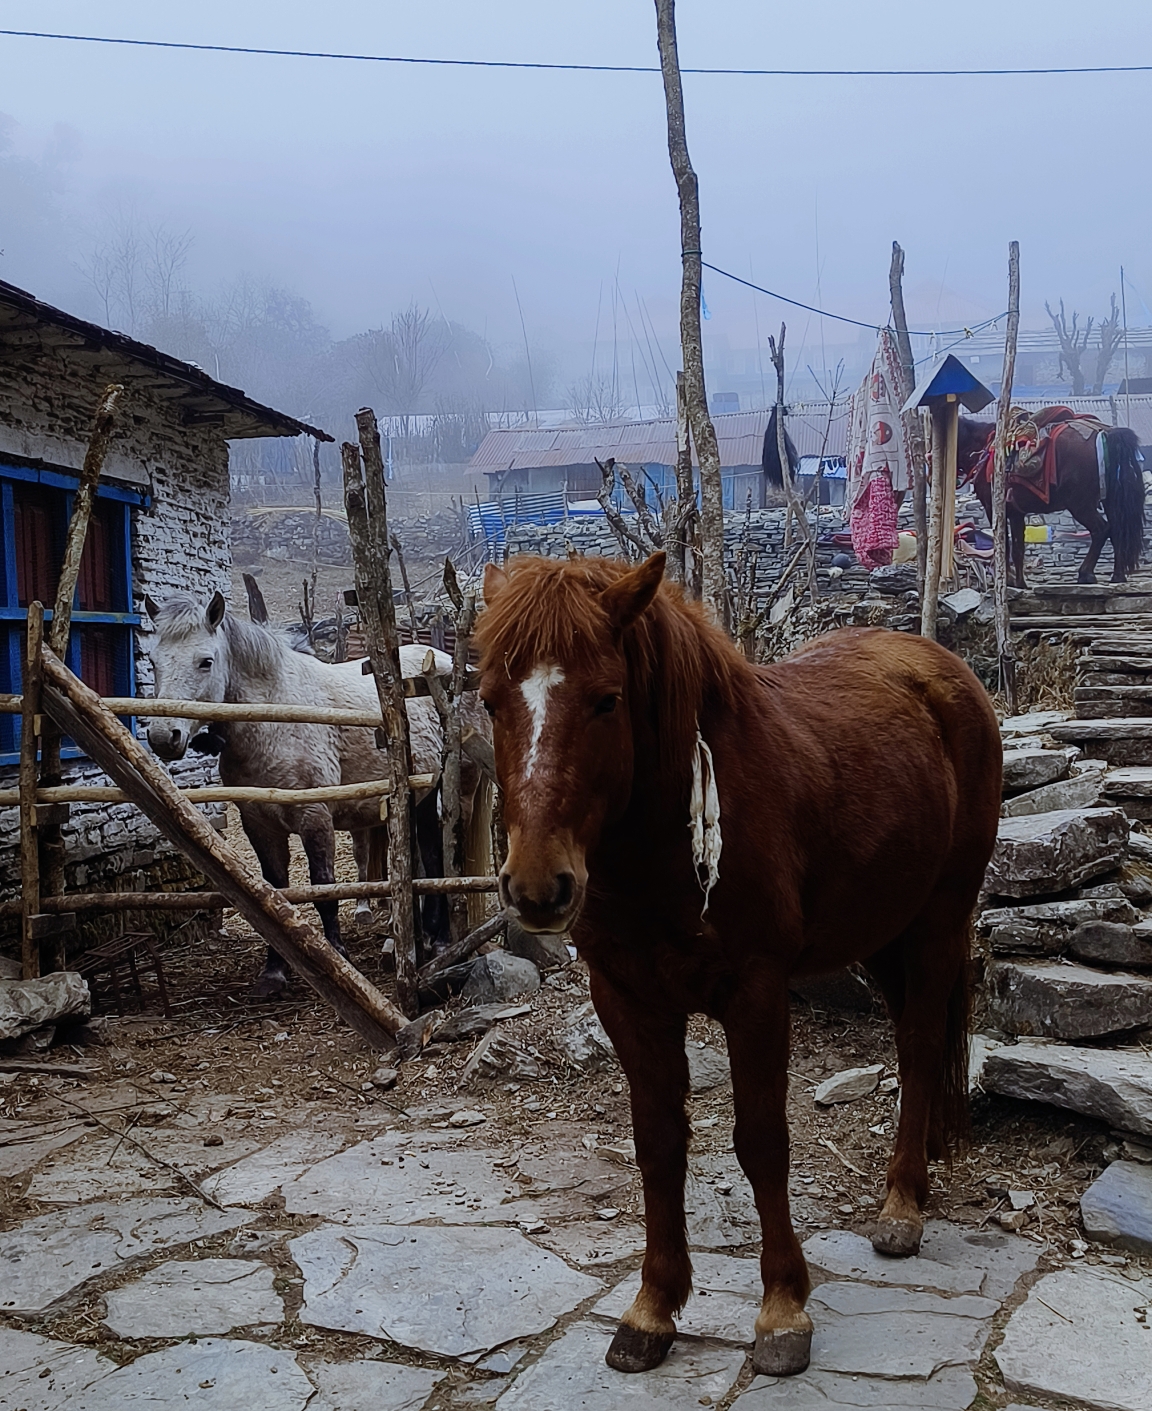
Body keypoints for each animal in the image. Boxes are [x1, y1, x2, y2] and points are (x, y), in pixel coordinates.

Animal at [142, 589, 491, 998]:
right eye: (153, 660)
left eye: (205, 662)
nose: (163, 737)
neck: (274, 717)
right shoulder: (260, 825)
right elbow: (275, 890)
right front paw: (274, 972)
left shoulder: (315, 818)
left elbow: (323, 887)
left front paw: (337, 956)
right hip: (418, 797)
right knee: (431, 856)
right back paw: (424, 936)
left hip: (458, 789)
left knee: (447, 856)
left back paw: (441, 939)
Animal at [474, 550, 999, 1377]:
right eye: (491, 700)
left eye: (606, 700)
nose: (536, 886)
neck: (662, 853)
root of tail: (944, 667)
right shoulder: (627, 997)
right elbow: (658, 1142)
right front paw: (652, 1308)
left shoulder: (756, 993)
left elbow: (761, 1140)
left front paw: (782, 1308)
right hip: (885, 929)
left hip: (940, 918)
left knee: (918, 1047)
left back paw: (902, 1204)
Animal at [954, 412, 1140, 586]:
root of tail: (1107, 433)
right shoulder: (1016, 512)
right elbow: (1018, 547)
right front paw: (1020, 583)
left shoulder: (993, 508)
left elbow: (1003, 545)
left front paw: (1007, 580)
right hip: (1110, 501)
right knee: (1117, 531)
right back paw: (1117, 576)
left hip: (1080, 504)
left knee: (1101, 530)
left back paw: (1086, 573)